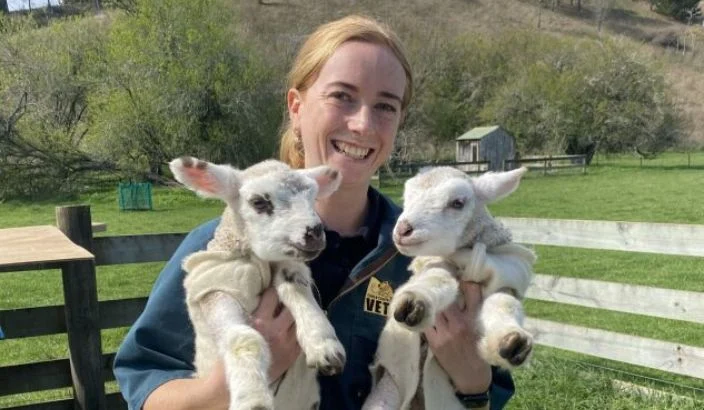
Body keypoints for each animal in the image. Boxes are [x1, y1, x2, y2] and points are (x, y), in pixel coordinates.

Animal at [169, 157, 347, 410]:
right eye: (259, 202)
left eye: (313, 198)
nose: (314, 232)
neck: (260, 261)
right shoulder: (217, 288)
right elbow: (243, 338)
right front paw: (252, 398)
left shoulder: (287, 266)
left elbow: (296, 287)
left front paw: (324, 346)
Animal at [363, 166, 536, 410]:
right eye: (406, 199)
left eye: (457, 203)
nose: (402, 230)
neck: (467, 263)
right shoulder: (437, 263)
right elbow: (438, 279)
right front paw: (415, 302)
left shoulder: (506, 279)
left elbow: (504, 303)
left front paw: (513, 343)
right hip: (389, 390)